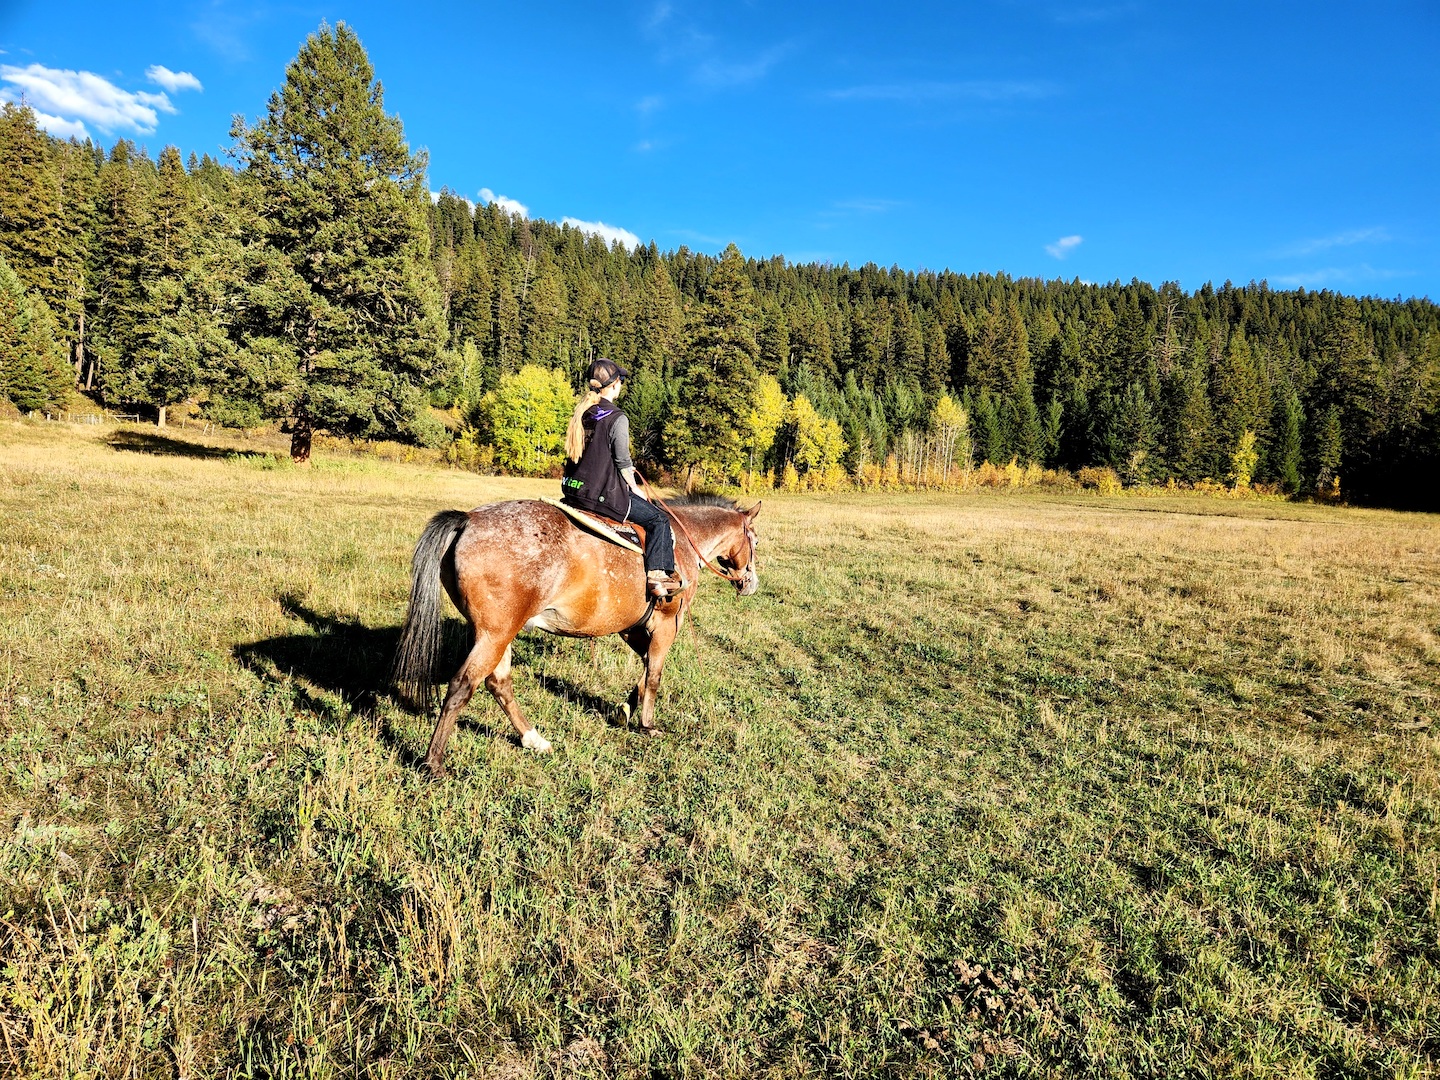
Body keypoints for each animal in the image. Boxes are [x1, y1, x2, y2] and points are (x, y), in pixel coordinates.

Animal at [390, 494, 761, 777]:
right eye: (754, 540)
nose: (750, 582)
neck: (682, 542)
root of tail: (468, 520)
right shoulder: (665, 626)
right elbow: (654, 675)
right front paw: (646, 723)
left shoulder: (630, 627)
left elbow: (643, 673)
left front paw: (626, 709)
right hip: (495, 634)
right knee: (462, 686)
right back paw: (433, 763)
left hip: (496, 634)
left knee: (499, 683)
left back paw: (532, 739)